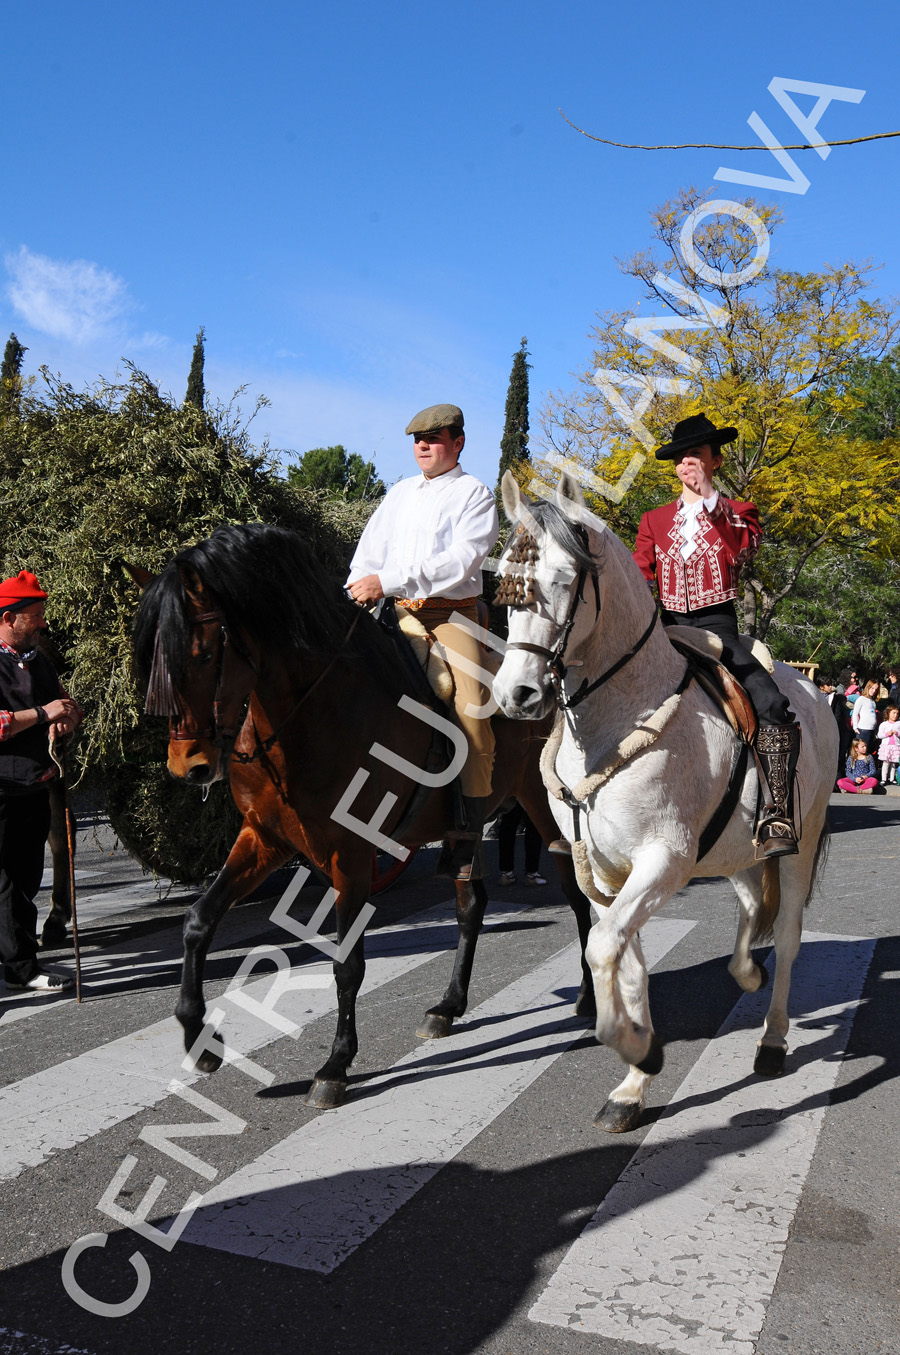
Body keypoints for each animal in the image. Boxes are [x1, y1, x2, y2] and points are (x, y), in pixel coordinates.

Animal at [133, 523, 593, 1105]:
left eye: (200, 654)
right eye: (152, 661)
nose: (187, 767)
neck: (313, 709)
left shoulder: (349, 854)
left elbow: (346, 961)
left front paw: (335, 1065)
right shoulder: (263, 838)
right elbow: (199, 921)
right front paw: (200, 1039)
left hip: (546, 813)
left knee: (577, 897)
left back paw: (588, 996)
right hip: (467, 831)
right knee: (471, 908)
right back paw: (449, 1007)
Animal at [493, 474, 834, 1132]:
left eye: (565, 581)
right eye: (504, 582)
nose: (515, 695)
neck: (621, 714)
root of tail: (812, 688)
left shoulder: (663, 861)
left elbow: (603, 948)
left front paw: (638, 1050)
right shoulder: (606, 873)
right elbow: (624, 962)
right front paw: (632, 1085)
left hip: (799, 843)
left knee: (789, 932)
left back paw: (773, 1039)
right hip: (734, 849)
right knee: (751, 906)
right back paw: (746, 971)